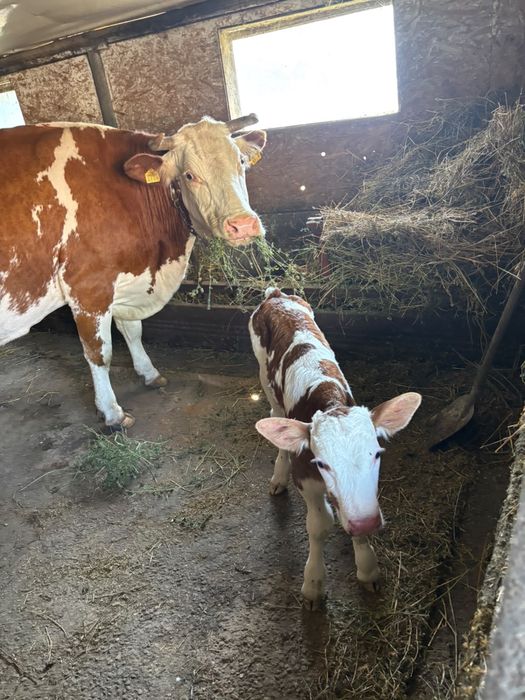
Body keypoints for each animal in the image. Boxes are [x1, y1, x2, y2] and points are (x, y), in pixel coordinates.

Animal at [0, 113, 266, 429]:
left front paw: (149, 373)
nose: (243, 225)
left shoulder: (127, 279)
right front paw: (112, 412)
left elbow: (132, 331)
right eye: (189, 175)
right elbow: (100, 353)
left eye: (240, 162)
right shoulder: (89, 289)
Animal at [249, 288, 422, 609]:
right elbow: (319, 525)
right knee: (275, 414)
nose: (365, 523)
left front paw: (367, 569)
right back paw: (278, 477)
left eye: (376, 455)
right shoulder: (306, 477)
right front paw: (313, 586)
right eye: (322, 464)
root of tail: (276, 295)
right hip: (264, 376)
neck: (326, 397)